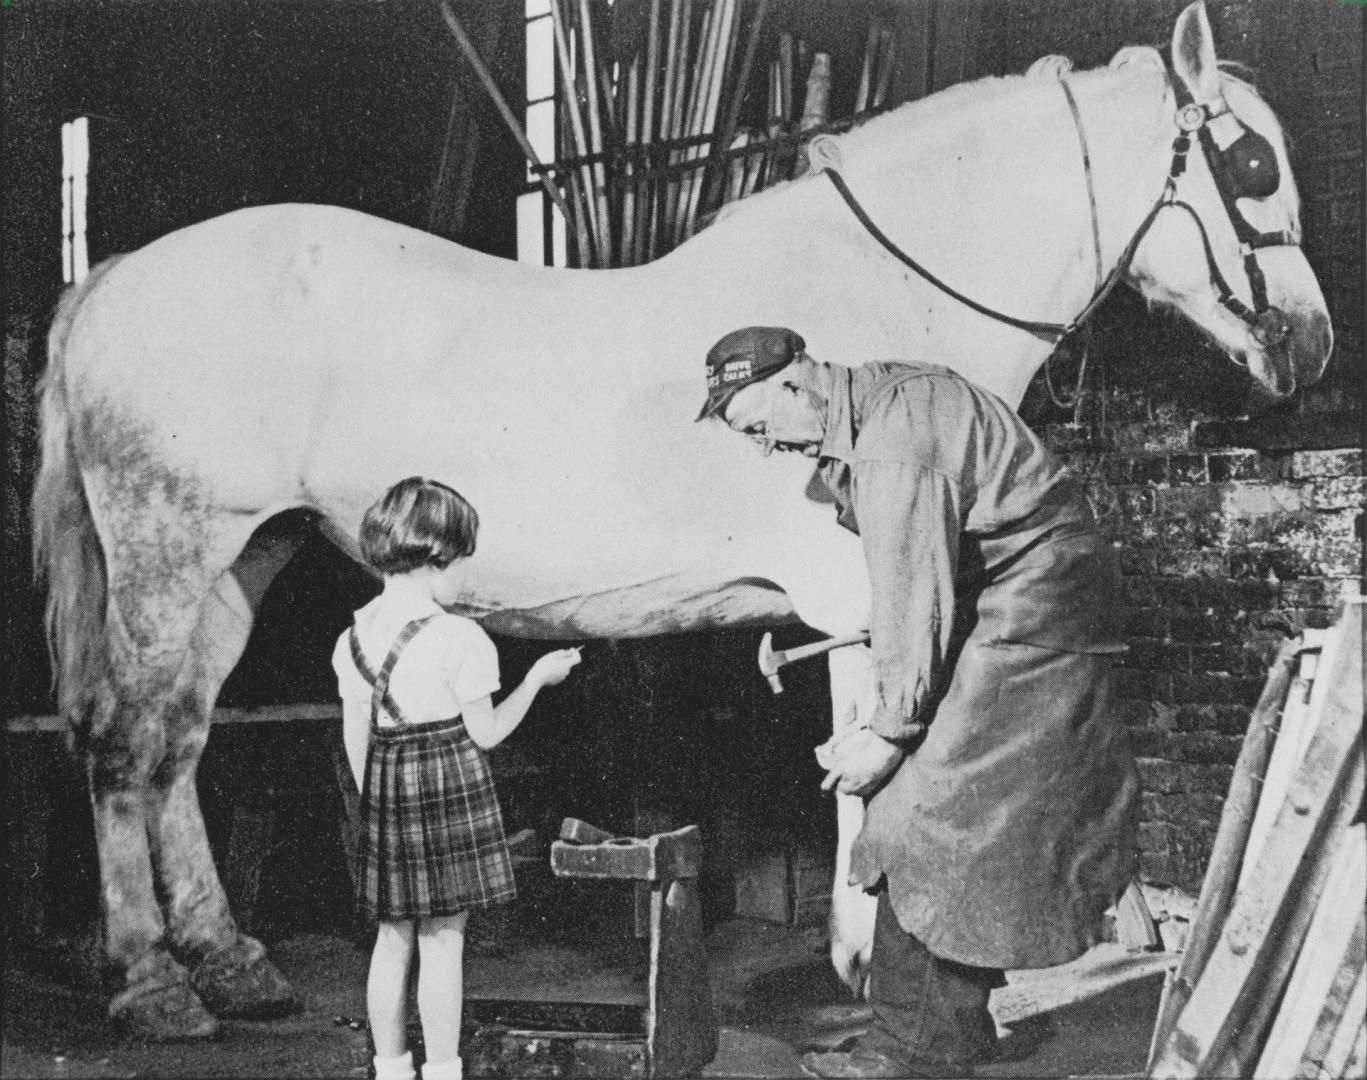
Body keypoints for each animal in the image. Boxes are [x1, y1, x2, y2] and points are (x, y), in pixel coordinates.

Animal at [37, 4, 1328, 1044]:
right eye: (1249, 159)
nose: (1308, 346)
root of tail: (105, 282)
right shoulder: (869, 599)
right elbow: (872, 765)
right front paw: (867, 965)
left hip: (243, 563)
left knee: (180, 743)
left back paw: (231, 963)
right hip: (168, 557)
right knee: (124, 747)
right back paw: (156, 984)